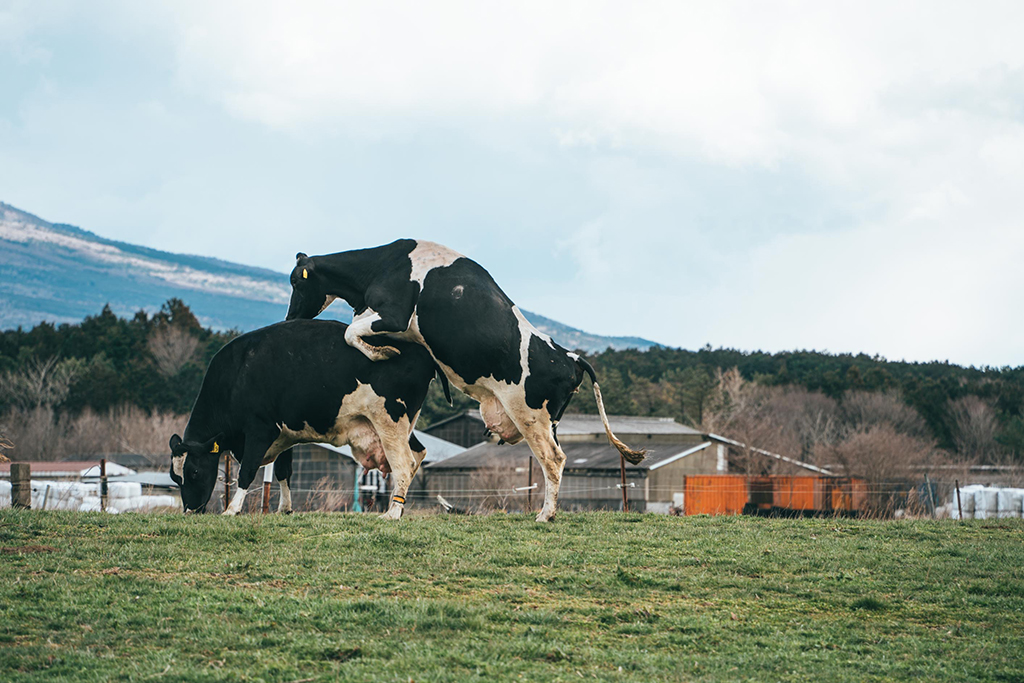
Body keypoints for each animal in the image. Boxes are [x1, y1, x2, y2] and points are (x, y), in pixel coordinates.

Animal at [167, 321, 448, 518]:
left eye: (193, 472)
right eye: (175, 477)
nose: (190, 510)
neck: (236, 377)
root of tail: (422, 354)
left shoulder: (260, 429)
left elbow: (247, 470)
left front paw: (232, 509)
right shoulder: (284, 434)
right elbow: (284, 471)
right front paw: (285, 508)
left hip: (389, 421)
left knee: (404, 463)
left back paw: (393, 513)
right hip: (402, 426)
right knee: (419, 454)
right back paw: (396, 508)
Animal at [284, 237, 643, 520]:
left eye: (296, 283)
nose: (290, 318)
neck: (384, 265)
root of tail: (570, 356)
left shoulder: (394, 315)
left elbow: (350, 333)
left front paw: (381, 352)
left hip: (530, 415)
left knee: (553, 459)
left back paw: (546, 515)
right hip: (550, 420)